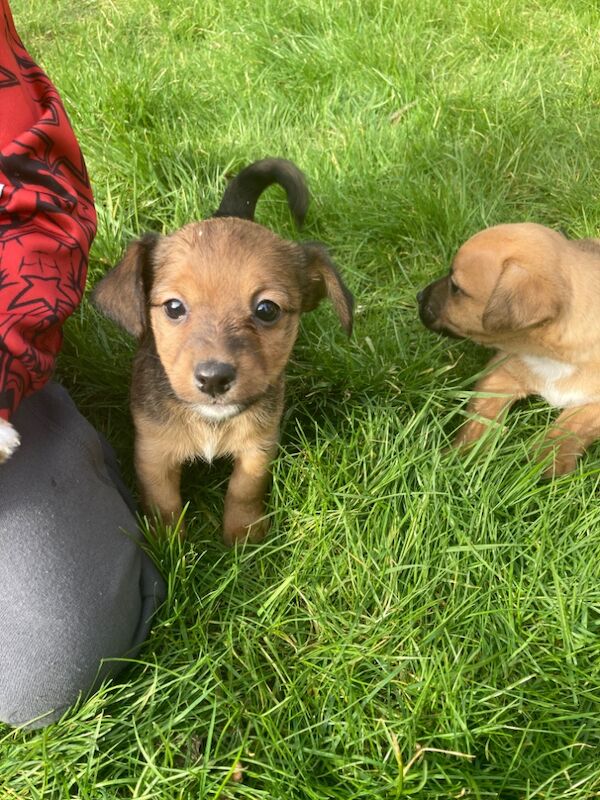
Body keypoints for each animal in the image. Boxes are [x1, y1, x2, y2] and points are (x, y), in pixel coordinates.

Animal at [92, 156, 352, 544]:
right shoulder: (154, 452)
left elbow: (244, 489)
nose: (214, 379)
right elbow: (163, 501)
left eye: (267, 310)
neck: (211, 422)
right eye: (173, 307)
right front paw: (169, 542)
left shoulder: (258, 447)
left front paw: (244, 538)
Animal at [418, 222, 600, 478]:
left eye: (455, 287)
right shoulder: (501, 373)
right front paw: (465, 455)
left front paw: (546, 464)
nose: (419, 296)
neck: (549, 356)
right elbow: (480, 417)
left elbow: (570, 425)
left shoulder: (594, 404)